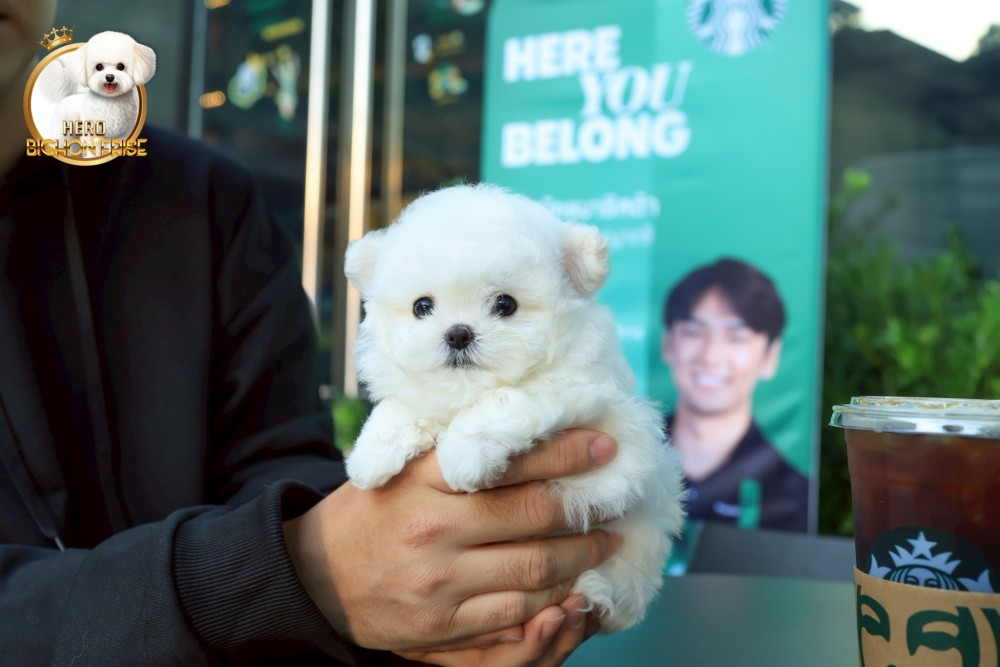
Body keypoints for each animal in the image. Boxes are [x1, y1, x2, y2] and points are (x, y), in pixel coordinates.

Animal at [344, 183, 686, 632]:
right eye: (422, 306)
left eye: (505, 304)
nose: (458, 333)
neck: (466, 393)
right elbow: (404, 403)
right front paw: (372, 452)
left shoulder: (602, 413)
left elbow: (510, 397)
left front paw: (464, 453)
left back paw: (597, 593)